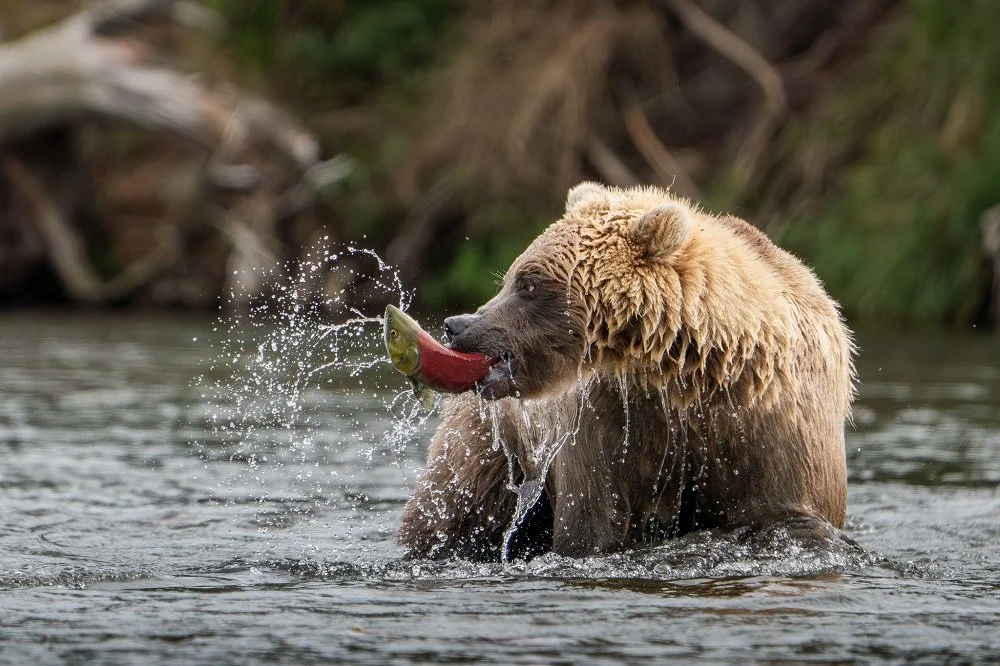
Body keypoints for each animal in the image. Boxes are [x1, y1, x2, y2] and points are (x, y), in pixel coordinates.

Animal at [398, 182, 854, 561]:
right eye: (512, 277)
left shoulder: (770, 418)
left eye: (527, 284)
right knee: (456, 504)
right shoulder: (609, 419)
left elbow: (789, 512)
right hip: (491, 441)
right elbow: (593, 519)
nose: (457, 325)